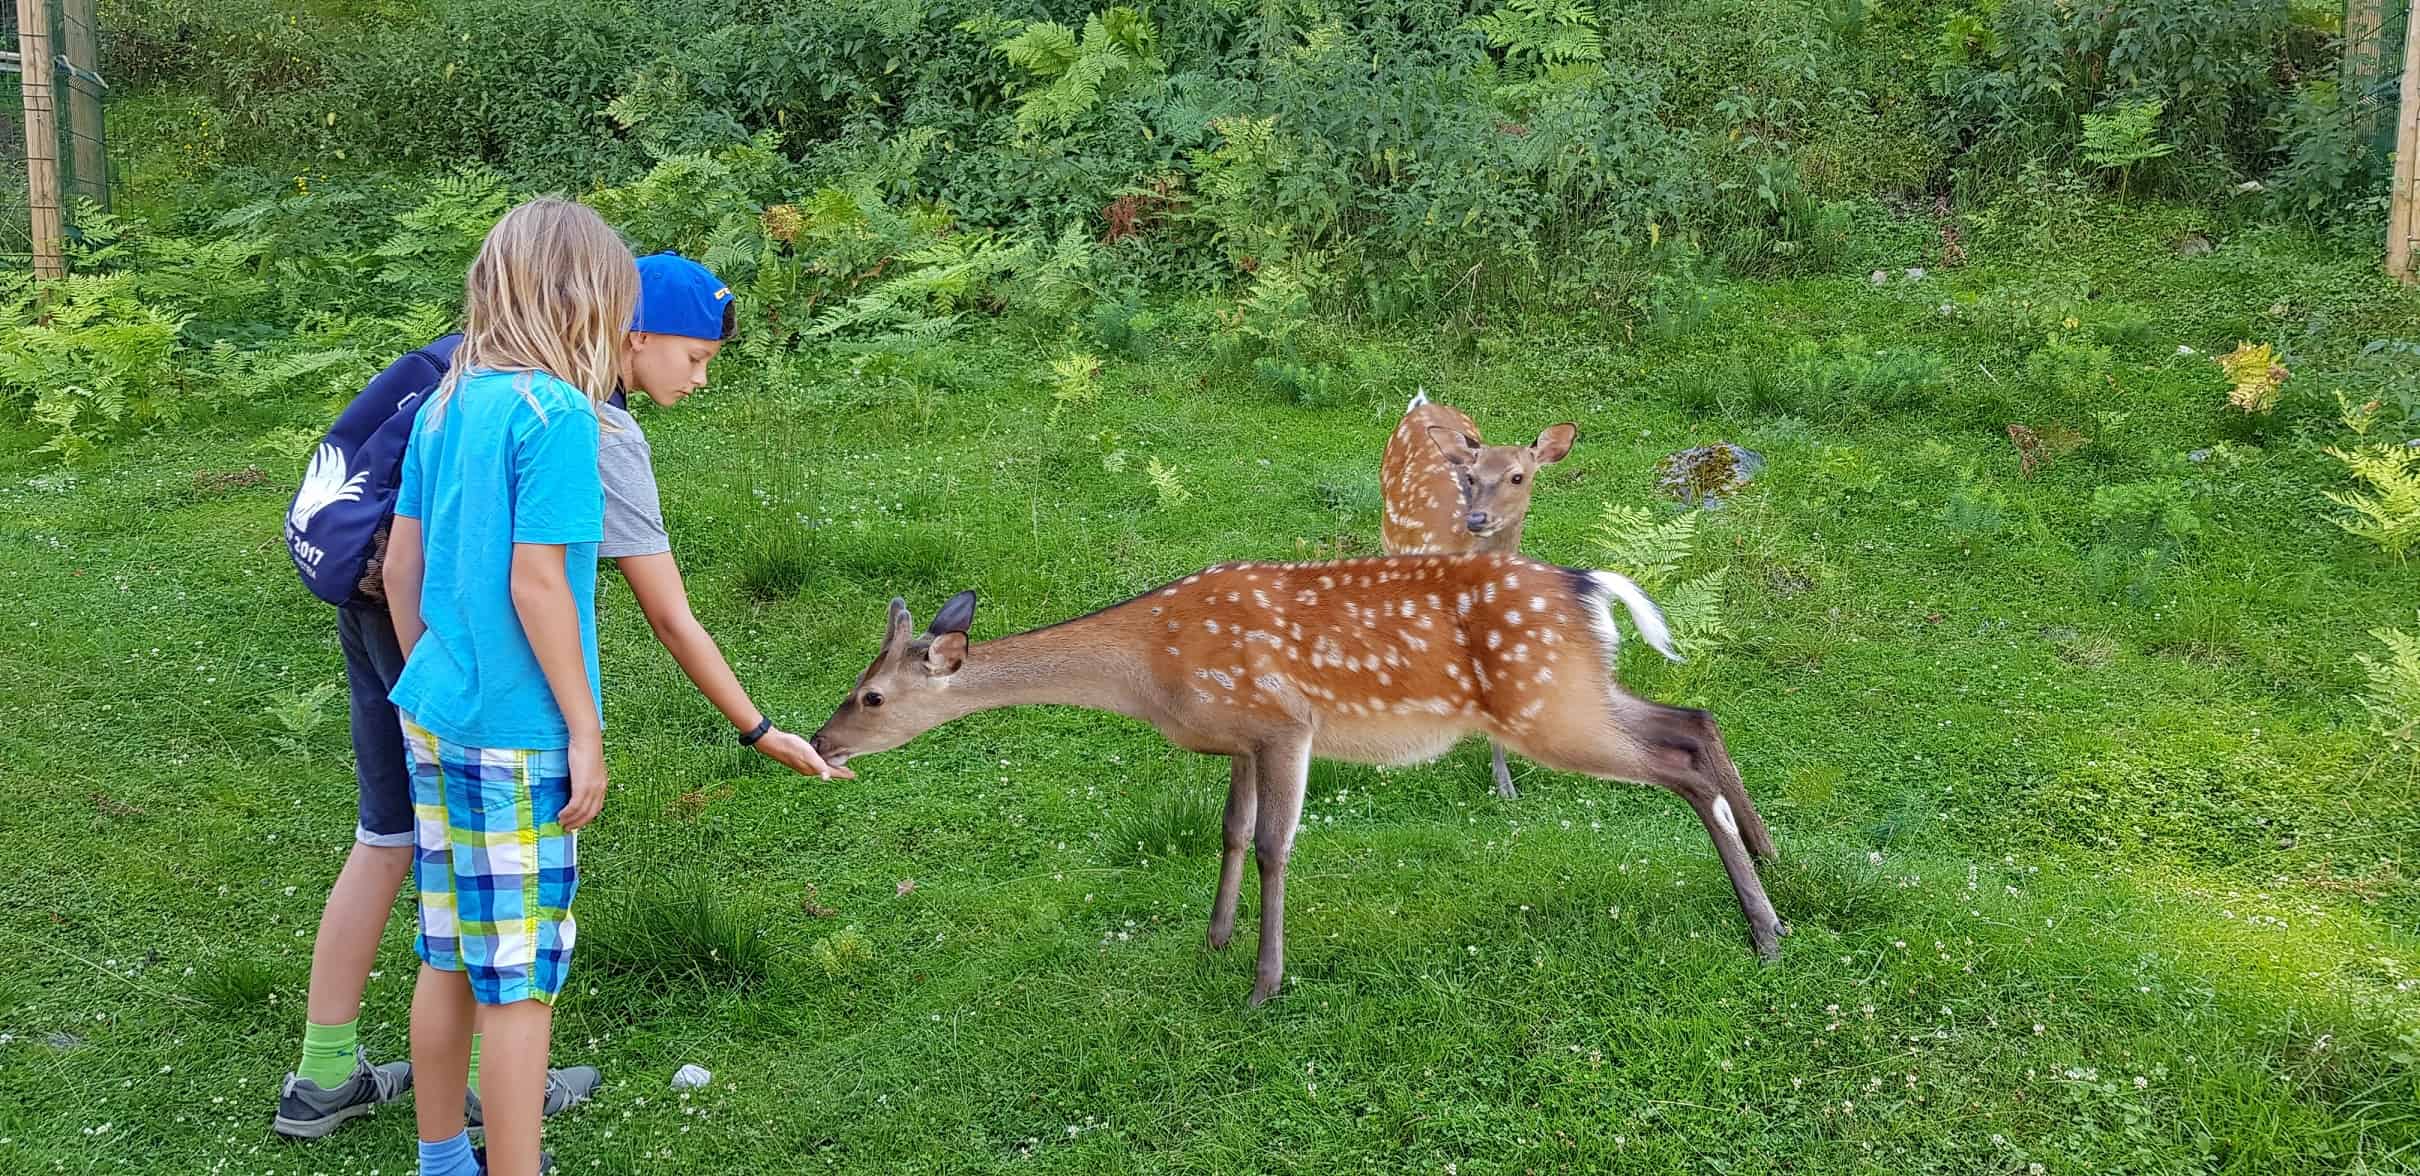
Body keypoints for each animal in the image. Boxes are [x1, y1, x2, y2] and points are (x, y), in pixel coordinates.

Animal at [808, 556, 1781, 1006]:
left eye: (871, 695)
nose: (819, 740)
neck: (1153, 673)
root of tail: (1591, 586)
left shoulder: (1283, 721)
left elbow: (1277, 844)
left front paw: (1264, 982)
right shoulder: (1238, 738)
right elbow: (1232, 831)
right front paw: (1215, 939)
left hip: (1548, 709)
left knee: (1678, 763)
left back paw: (1764, 927)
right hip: (1572, 691)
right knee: (1695, 720)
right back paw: (1770, 858)